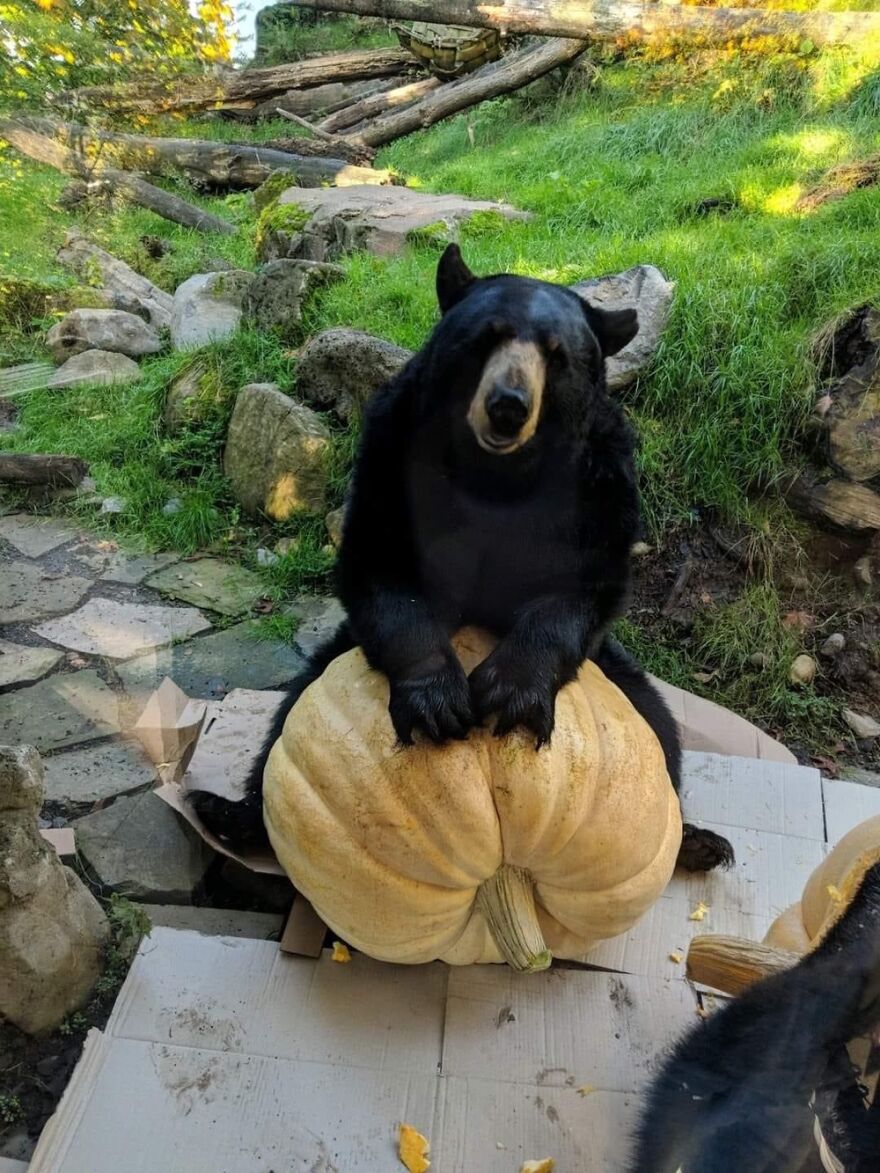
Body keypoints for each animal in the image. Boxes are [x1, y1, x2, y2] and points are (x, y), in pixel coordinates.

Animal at [191, 244, 732, 873]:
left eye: (557, 355)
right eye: (485, 337)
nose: (508, 407)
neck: (497, 473)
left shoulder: (599, 480)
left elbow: (584, 584)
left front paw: (511, 692)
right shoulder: (393, 452)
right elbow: (381, 562)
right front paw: (437, 702)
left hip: (619, 676)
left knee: (662, 730)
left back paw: (699, 842)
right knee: (283, 720)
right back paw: (227, 814)